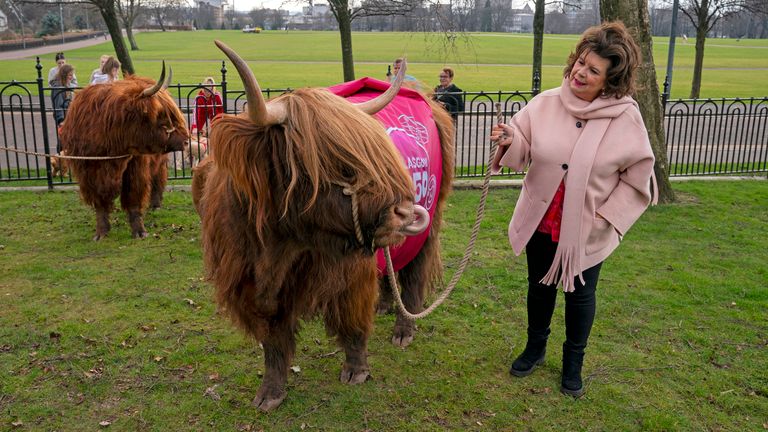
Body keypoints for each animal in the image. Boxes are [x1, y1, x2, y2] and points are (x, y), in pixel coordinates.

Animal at [58, 63, 188, 240]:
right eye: (163, 119)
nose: (186, 140)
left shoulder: (135, 167)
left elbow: (133, 198)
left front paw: (139, 231)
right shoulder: (88, 173)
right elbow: (100, 203)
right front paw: (101, 232)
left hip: (158, 161)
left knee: (157, 179)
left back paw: (155, 204)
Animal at [192, 42, 452, 414]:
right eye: (338, 163)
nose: (405, 213)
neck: (276, 250)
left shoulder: (352, 273)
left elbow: (353, 324)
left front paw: (356, 371)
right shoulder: (251, 287)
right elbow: (272, 342)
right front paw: (270, 393)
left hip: (430, 225)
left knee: (414, 275)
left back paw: (404, 330)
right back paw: (386, 305)